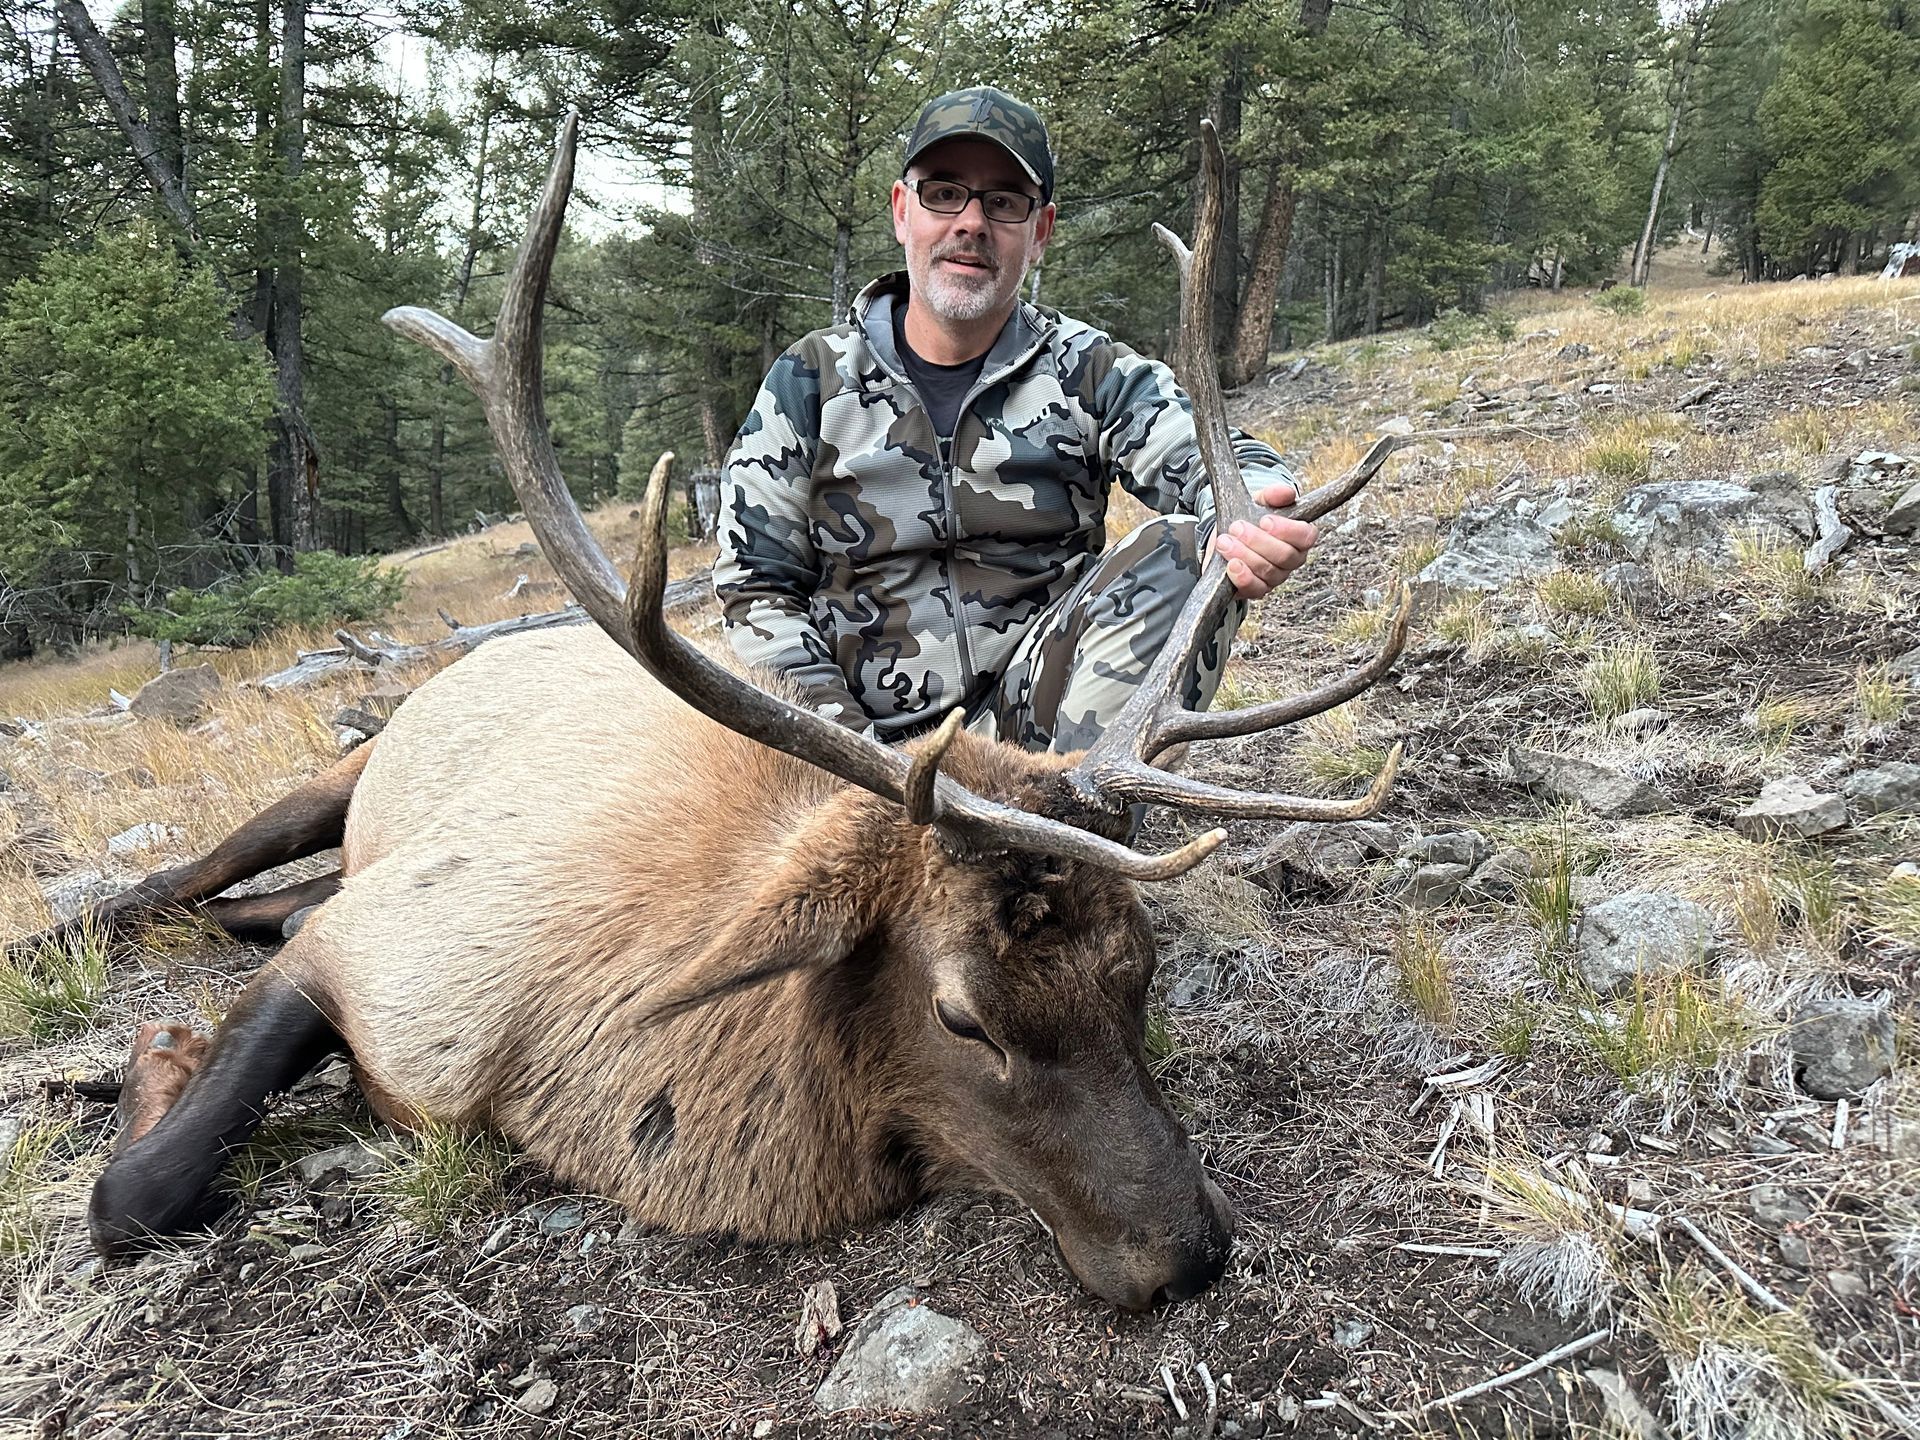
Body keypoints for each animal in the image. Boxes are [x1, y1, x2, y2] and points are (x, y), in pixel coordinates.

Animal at [64, 117, 1417, 1311]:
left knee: (259, 900)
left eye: (1138, 969)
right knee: (189, 882)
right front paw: (159, 1060)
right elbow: (139, 1194)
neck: (563, 1078)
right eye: (962, 1015)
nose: (1190, 1252)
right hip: (350, 779)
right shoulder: (373, 958)